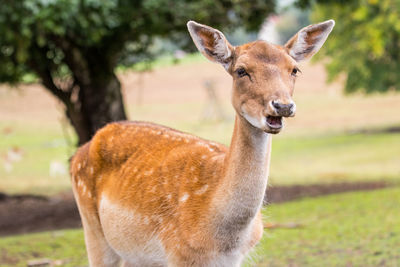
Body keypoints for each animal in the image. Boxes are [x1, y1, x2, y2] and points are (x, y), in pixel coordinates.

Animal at [69, 19, 334, 267]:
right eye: (241, 70)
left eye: (294, 70)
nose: (282, 105)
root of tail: (77, 153)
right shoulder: (178, 252)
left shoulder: (235, 258)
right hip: (92, 229)